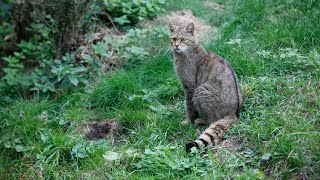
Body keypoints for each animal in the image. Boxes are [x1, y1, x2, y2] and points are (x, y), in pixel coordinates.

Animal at [169, 22, 241, 152]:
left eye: (183, 39)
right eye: (173, 39)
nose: (176, 46)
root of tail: (232, 113)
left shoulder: (189, 87)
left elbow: (189, 107)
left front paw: (189, 121)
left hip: (200, 90)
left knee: (211, 120)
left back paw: (199, 120)